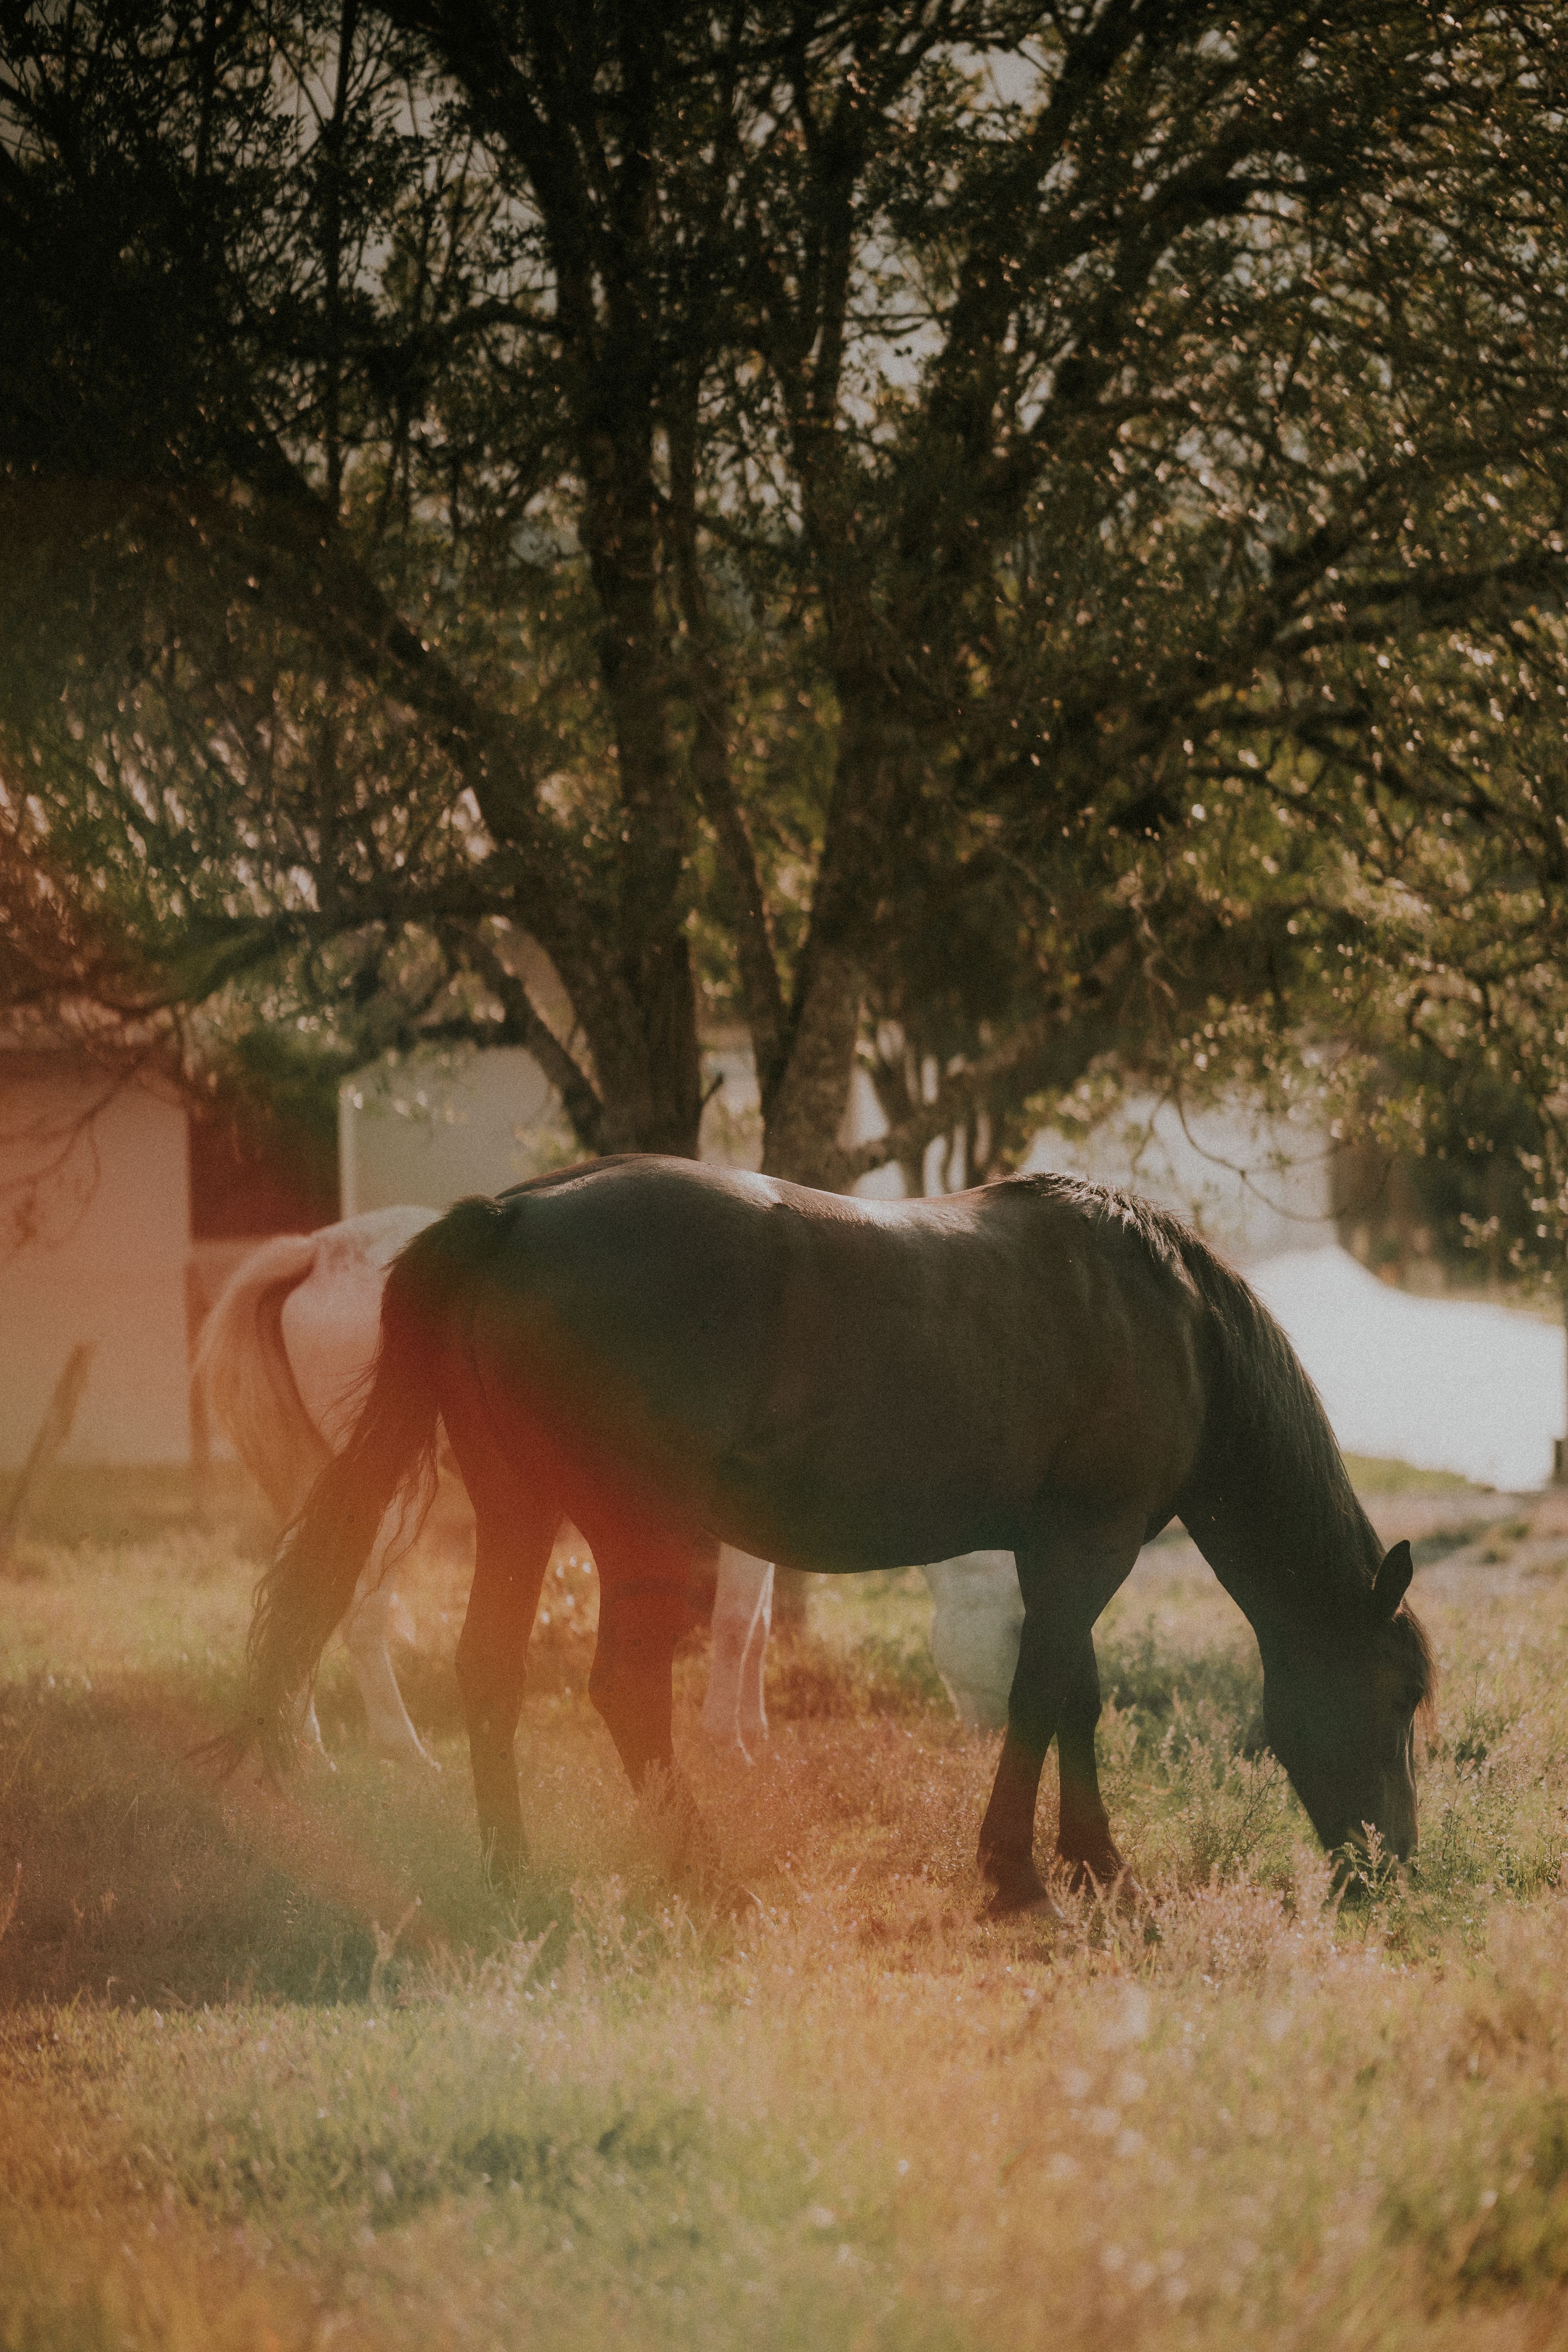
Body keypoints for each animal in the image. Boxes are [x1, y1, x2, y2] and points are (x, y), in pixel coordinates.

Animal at [196, 1207, 776, 1768]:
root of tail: (318, 1249)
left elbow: (758, 1627)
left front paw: (753, 1734)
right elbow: (737, 1622)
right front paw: (727, 1744)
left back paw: (303, 1743)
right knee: (354, 1608)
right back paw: (402, 1749)